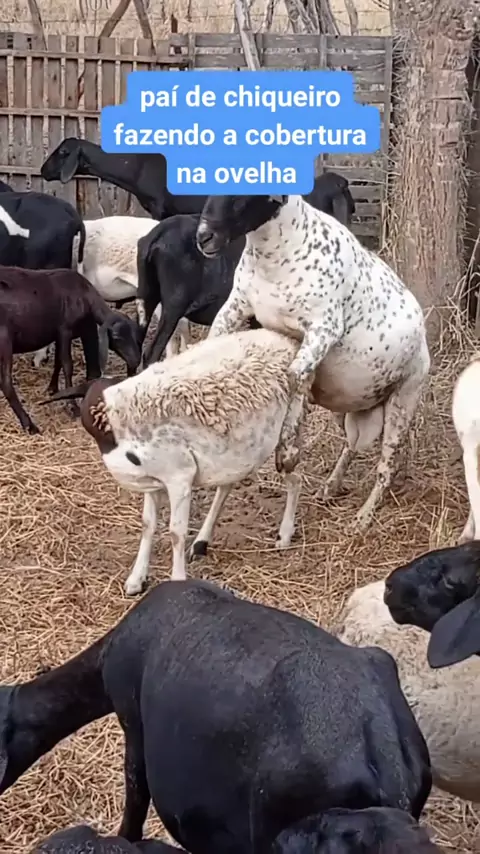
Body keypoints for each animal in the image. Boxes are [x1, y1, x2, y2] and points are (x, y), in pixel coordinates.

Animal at [0, 265, 142, 434]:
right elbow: (67, 365)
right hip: (4, 340)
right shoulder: (65, 330)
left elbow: (58, 362)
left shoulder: (58, 334)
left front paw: (53, 388)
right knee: (6, 383)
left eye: (135, 336)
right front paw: (72, 406)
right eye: (117, 337)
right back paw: (29, 425)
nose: (136, 360)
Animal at [42, 327, 305, 593]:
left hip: (287, 430)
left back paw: (284, 534)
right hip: (237, 450)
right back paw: (202, 542)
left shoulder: (179, 477)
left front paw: (177, 580)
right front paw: (136, 579)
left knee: (295, 479)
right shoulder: (153, 481)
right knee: (228, 485)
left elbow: (176, 532)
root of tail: (284, 339)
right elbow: (148, 524)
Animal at [196, 194, 430, 533]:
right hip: (348, 405)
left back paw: (363, 518)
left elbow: (292, 377)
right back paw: (331, 486)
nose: (204, 237)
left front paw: (287, 450)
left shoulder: (323, 329)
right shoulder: (237, 307)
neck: (275, 256)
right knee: (351, 445)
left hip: (403, 401)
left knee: (386, 466)